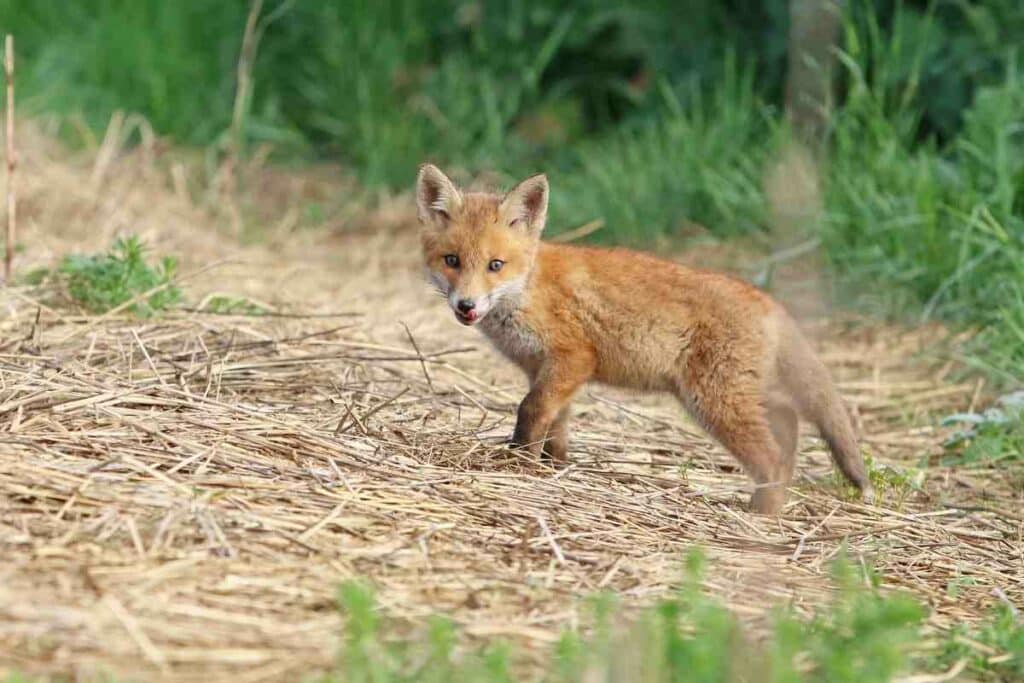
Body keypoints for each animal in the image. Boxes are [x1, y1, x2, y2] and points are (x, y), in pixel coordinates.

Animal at [413, 162, 872, 511]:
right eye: (452, 260)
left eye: (495, 265)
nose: (467, 306)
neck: (528, 289)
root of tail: (767, 300)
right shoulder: (546, 370)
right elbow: (555, 427)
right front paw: (550, 467)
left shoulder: (573, 357)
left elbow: (530, 412)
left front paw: (517, 462)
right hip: (746, 392)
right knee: (791, 425)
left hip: (713, 400)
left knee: (774, 457)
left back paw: (761, 519)